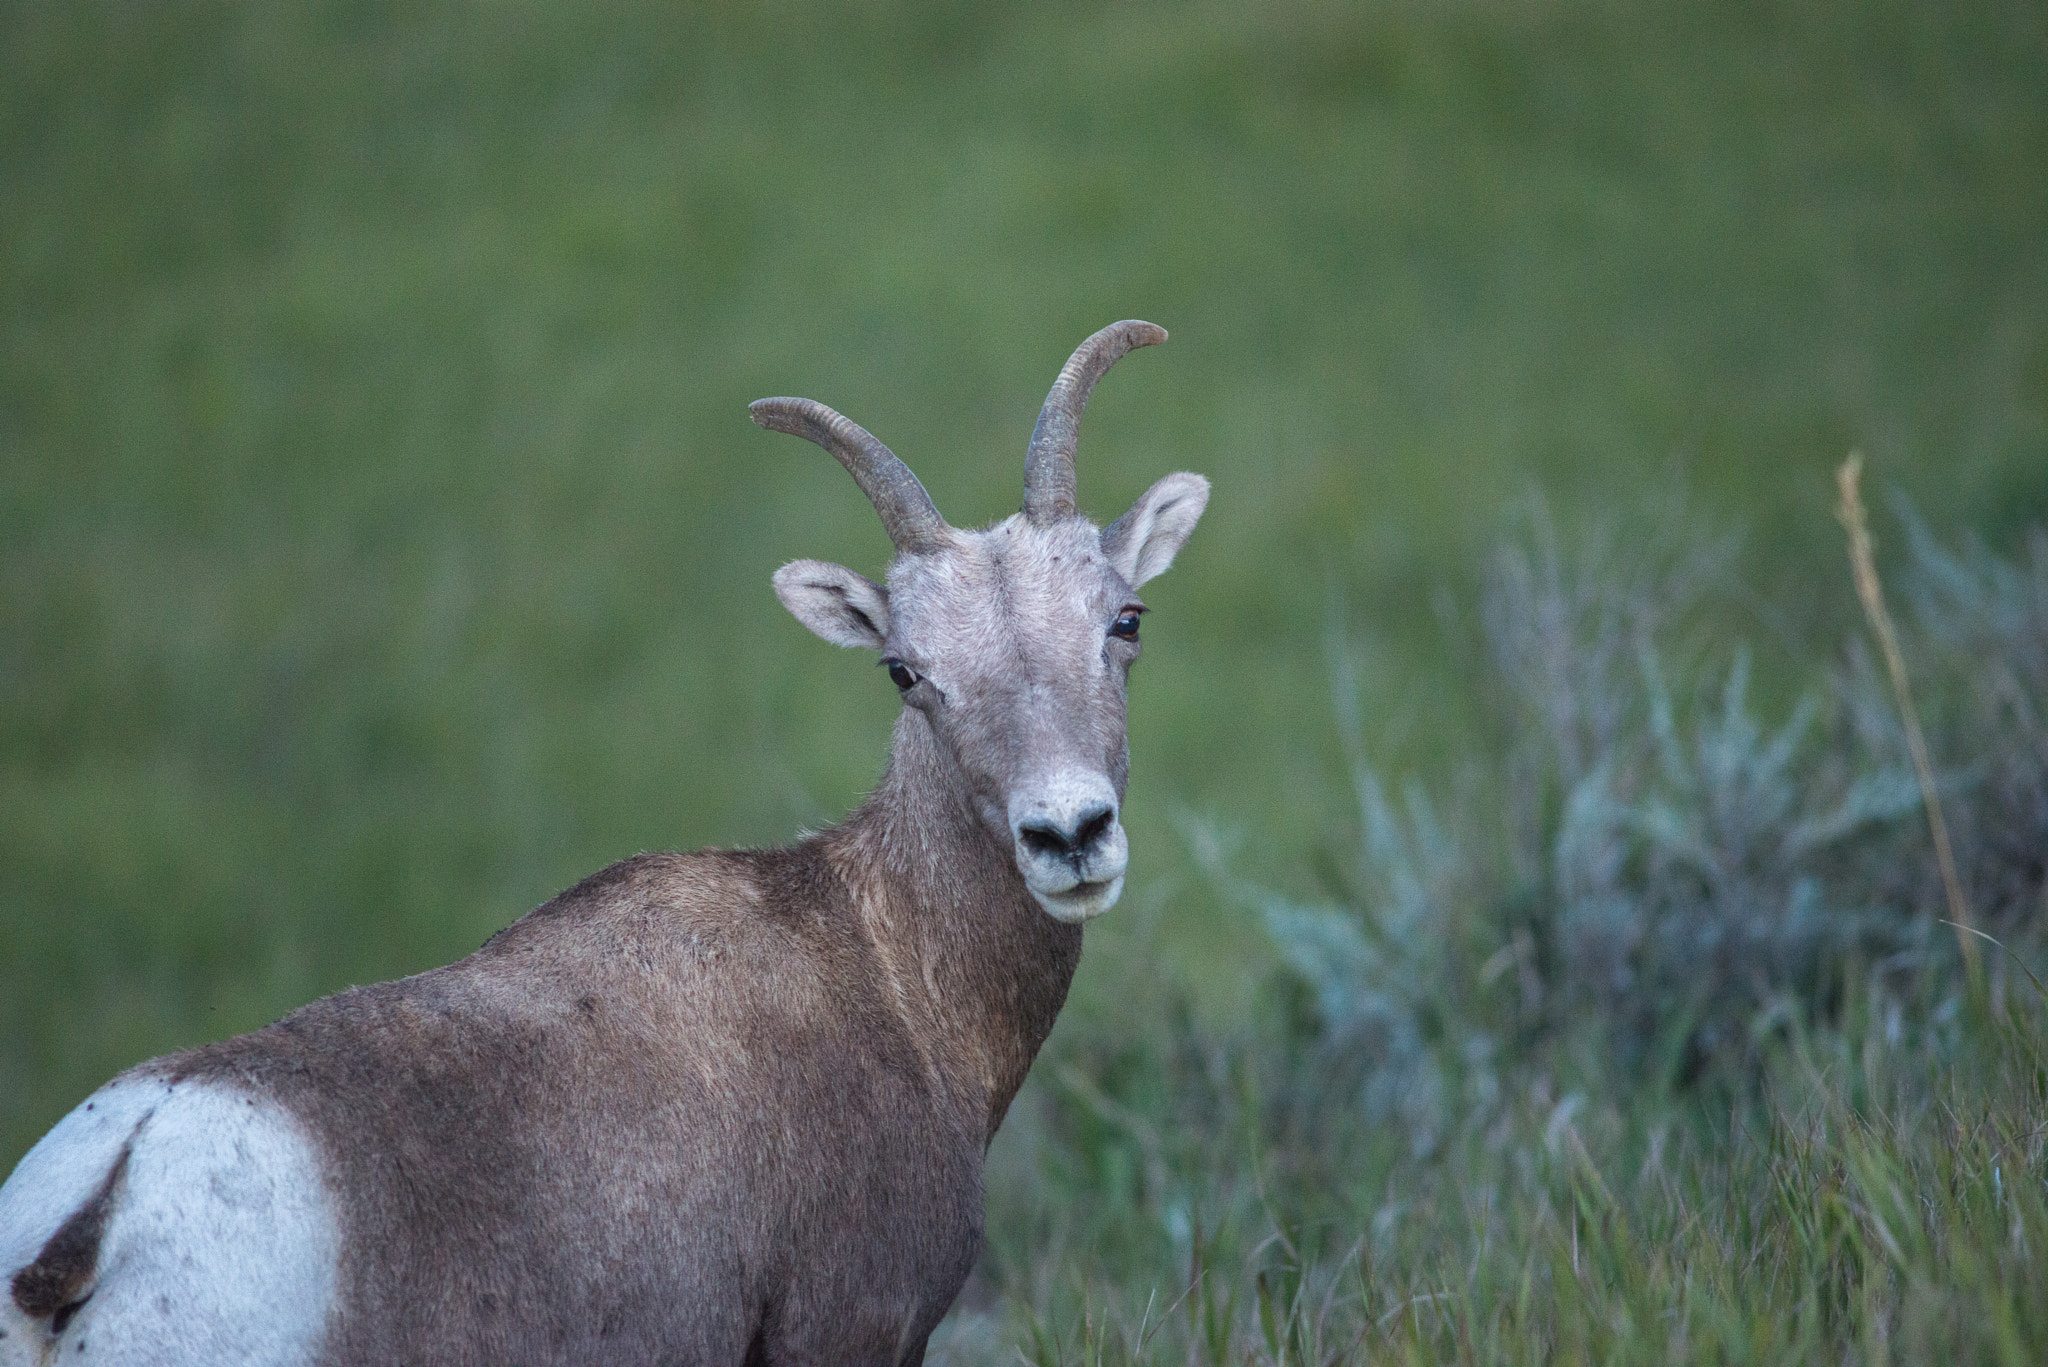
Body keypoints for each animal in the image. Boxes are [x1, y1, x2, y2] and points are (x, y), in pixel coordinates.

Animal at [0, 323, 1204, 1367]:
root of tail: (92, 1226)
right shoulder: (848, 1332)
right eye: (906, 670)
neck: (889, 974)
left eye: (1124, 619)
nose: (1068, 833)